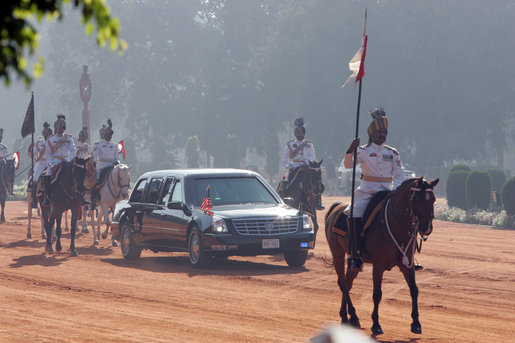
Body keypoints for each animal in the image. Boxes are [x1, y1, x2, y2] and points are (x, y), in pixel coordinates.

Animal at [326, 177, 440, 336]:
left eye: (433, 199)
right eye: (418, 199)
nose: (426, 228)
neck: (397, 225)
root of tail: (336, 206)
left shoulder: (407, 264)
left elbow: (414, 290)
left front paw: (416, 323)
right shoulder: (378, 264)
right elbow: (377, 293)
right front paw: (376, 324)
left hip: (353, 260)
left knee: (348, 283)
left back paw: (345, 316)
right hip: (337, 252)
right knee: (342, 282)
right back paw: (353, 316)